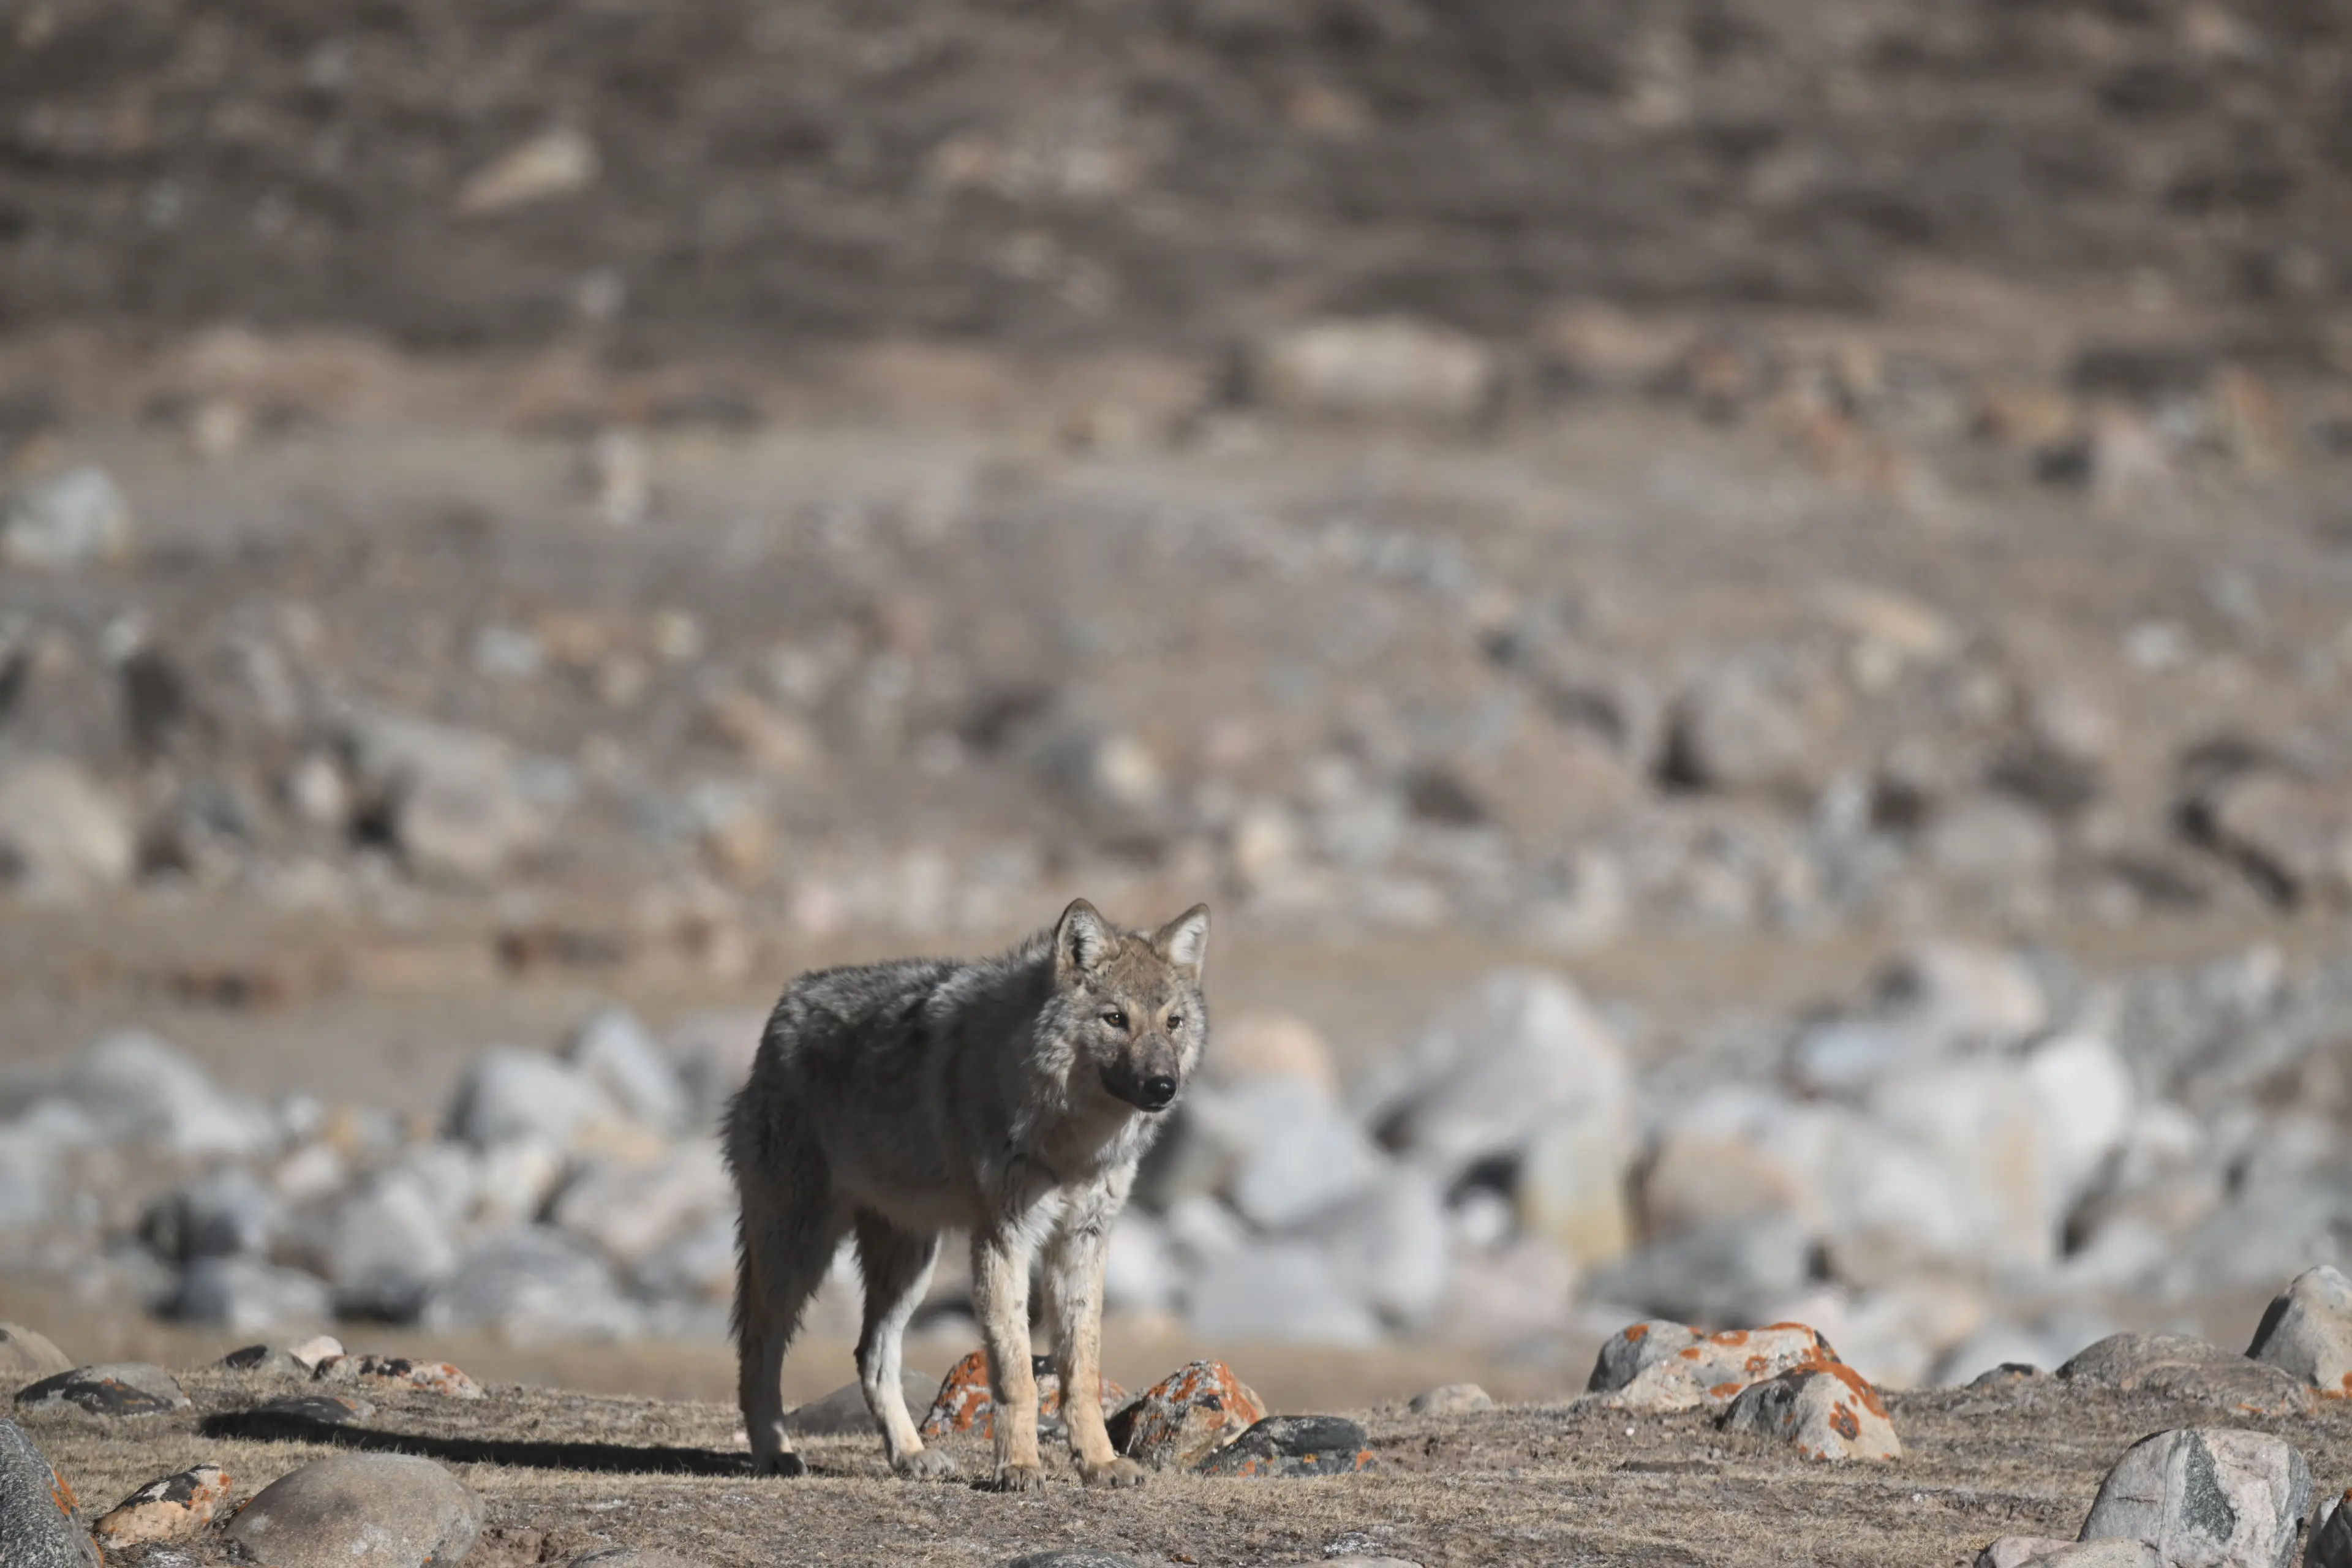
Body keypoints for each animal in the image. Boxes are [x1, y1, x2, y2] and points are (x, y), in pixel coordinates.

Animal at [723, 898, 1210, 1489]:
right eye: (1116, 1018)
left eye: (1172, 1022)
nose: (1164, 1087)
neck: (1074, 1142)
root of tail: (786, 1004)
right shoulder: (1004, 1240)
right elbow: (1017, 1375)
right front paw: (1019, 1466)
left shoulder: (1082, 1242)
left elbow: (1082, 1372)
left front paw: (1099, 1462)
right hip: (798, 1251)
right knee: (758, 1350)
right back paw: (775, 1453)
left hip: (910, 1263)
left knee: (871, 1355)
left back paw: (911, 1455)